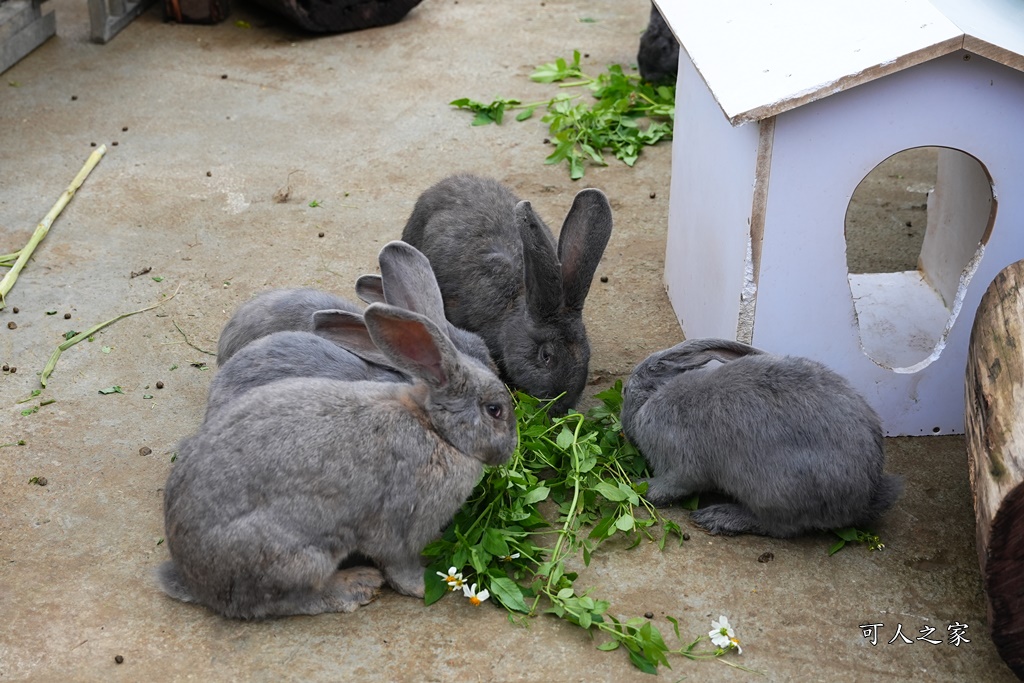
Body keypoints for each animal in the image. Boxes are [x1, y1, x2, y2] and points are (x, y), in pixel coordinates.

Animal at [157, 303, 520, 618]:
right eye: (495, 410)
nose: (511, 449)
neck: (435, 428)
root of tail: (195, 580)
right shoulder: (401, 528)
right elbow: (400, 568)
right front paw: (424, 584)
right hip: (299, 557)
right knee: (286, 600)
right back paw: (357, 585)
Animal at [618, 339, 901, 536]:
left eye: (624, 390)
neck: (655, 396)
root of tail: (864, 499)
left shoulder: (680, 466)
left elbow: (670, 486)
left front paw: (640, 486)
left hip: (774, 492)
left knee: (780, 527)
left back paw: (719, 517)